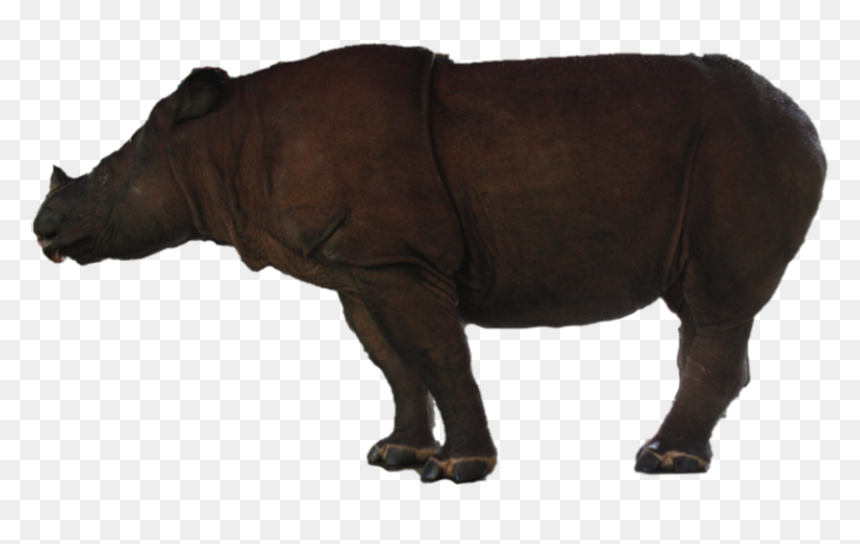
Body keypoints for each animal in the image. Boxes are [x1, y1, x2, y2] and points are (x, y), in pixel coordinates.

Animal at [33, 44, 826, 483]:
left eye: (105, 182)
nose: (43, 229)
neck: (222, 139)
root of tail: (805, 117)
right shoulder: (361, 266)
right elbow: (396, 361)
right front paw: (397, 454)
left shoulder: (396, 258)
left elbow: (440, 354)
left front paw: (460, 470)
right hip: (745, 147)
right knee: (704, 312)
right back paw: (673, 454)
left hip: (746, 147)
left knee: (714, 304)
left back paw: (665, 463)